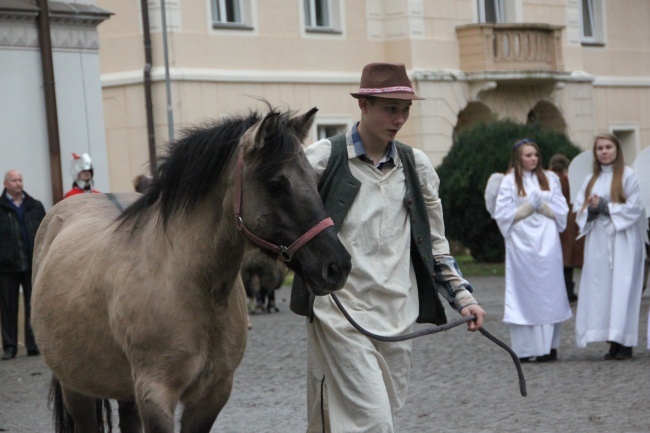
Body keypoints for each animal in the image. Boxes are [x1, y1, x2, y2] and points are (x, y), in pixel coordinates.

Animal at [31, 105, 350, 432]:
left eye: (315, 177)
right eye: (275, 184)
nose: (336, 266)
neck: (187, 282)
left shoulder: (212, 395)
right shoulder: (155, 396)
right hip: (76, 389)